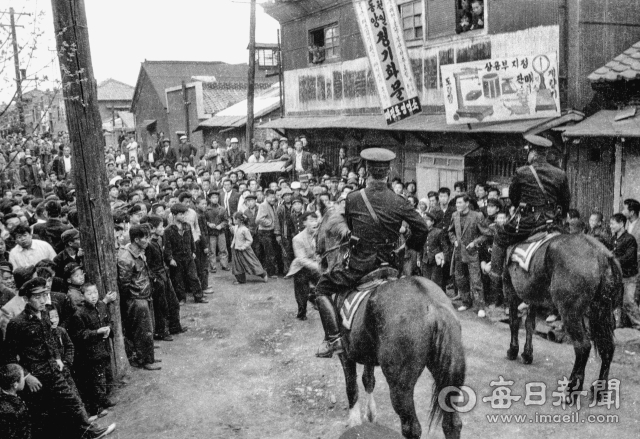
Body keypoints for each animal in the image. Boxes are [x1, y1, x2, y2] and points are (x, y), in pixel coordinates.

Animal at [318, 207, 468, 439]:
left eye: (317, 228)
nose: (321, 262)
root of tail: (432, 305)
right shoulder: (366, 352)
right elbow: (368, 380)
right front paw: (370, 415)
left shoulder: (346, 354)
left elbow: (352, 387)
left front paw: (354, 422)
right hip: (450, 376)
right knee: (452, 424)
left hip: (400, 385)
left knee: (411, 427)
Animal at [502, 235, 624, 400]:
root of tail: (603, 256)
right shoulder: (534, 297)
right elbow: (529, 325)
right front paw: (527, 354)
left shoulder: (510, 289)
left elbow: (514, 322)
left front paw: (513, 350)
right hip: (600, 312)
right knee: (608, 347)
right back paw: (600, 389)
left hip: (570, 313)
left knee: (583, 346)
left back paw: (572, 389)